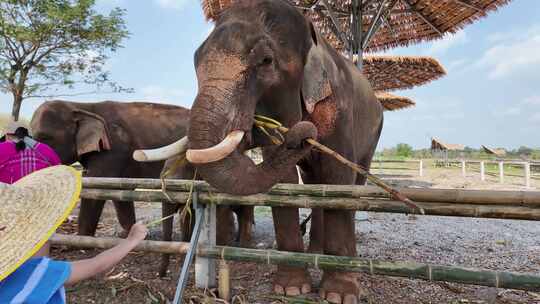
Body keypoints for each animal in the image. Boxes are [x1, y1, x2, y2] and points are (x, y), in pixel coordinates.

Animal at [29, 100, 255, 276]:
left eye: (46, 137)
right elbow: (118, 191)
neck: (81, 107)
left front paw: (77, 243)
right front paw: (128, 235)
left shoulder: (113, 149)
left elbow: (96, 186)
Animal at [139, 1, 384, 302]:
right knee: (314, 183)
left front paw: (339, 295)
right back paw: (315, 252)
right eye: (196, 61)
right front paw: (291, 289)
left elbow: (338, 178)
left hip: (374, 133)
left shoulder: (339, 110)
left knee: (352, 181)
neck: (314, 37)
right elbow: (286, 182)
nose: (304, 133)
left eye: (266, 61)